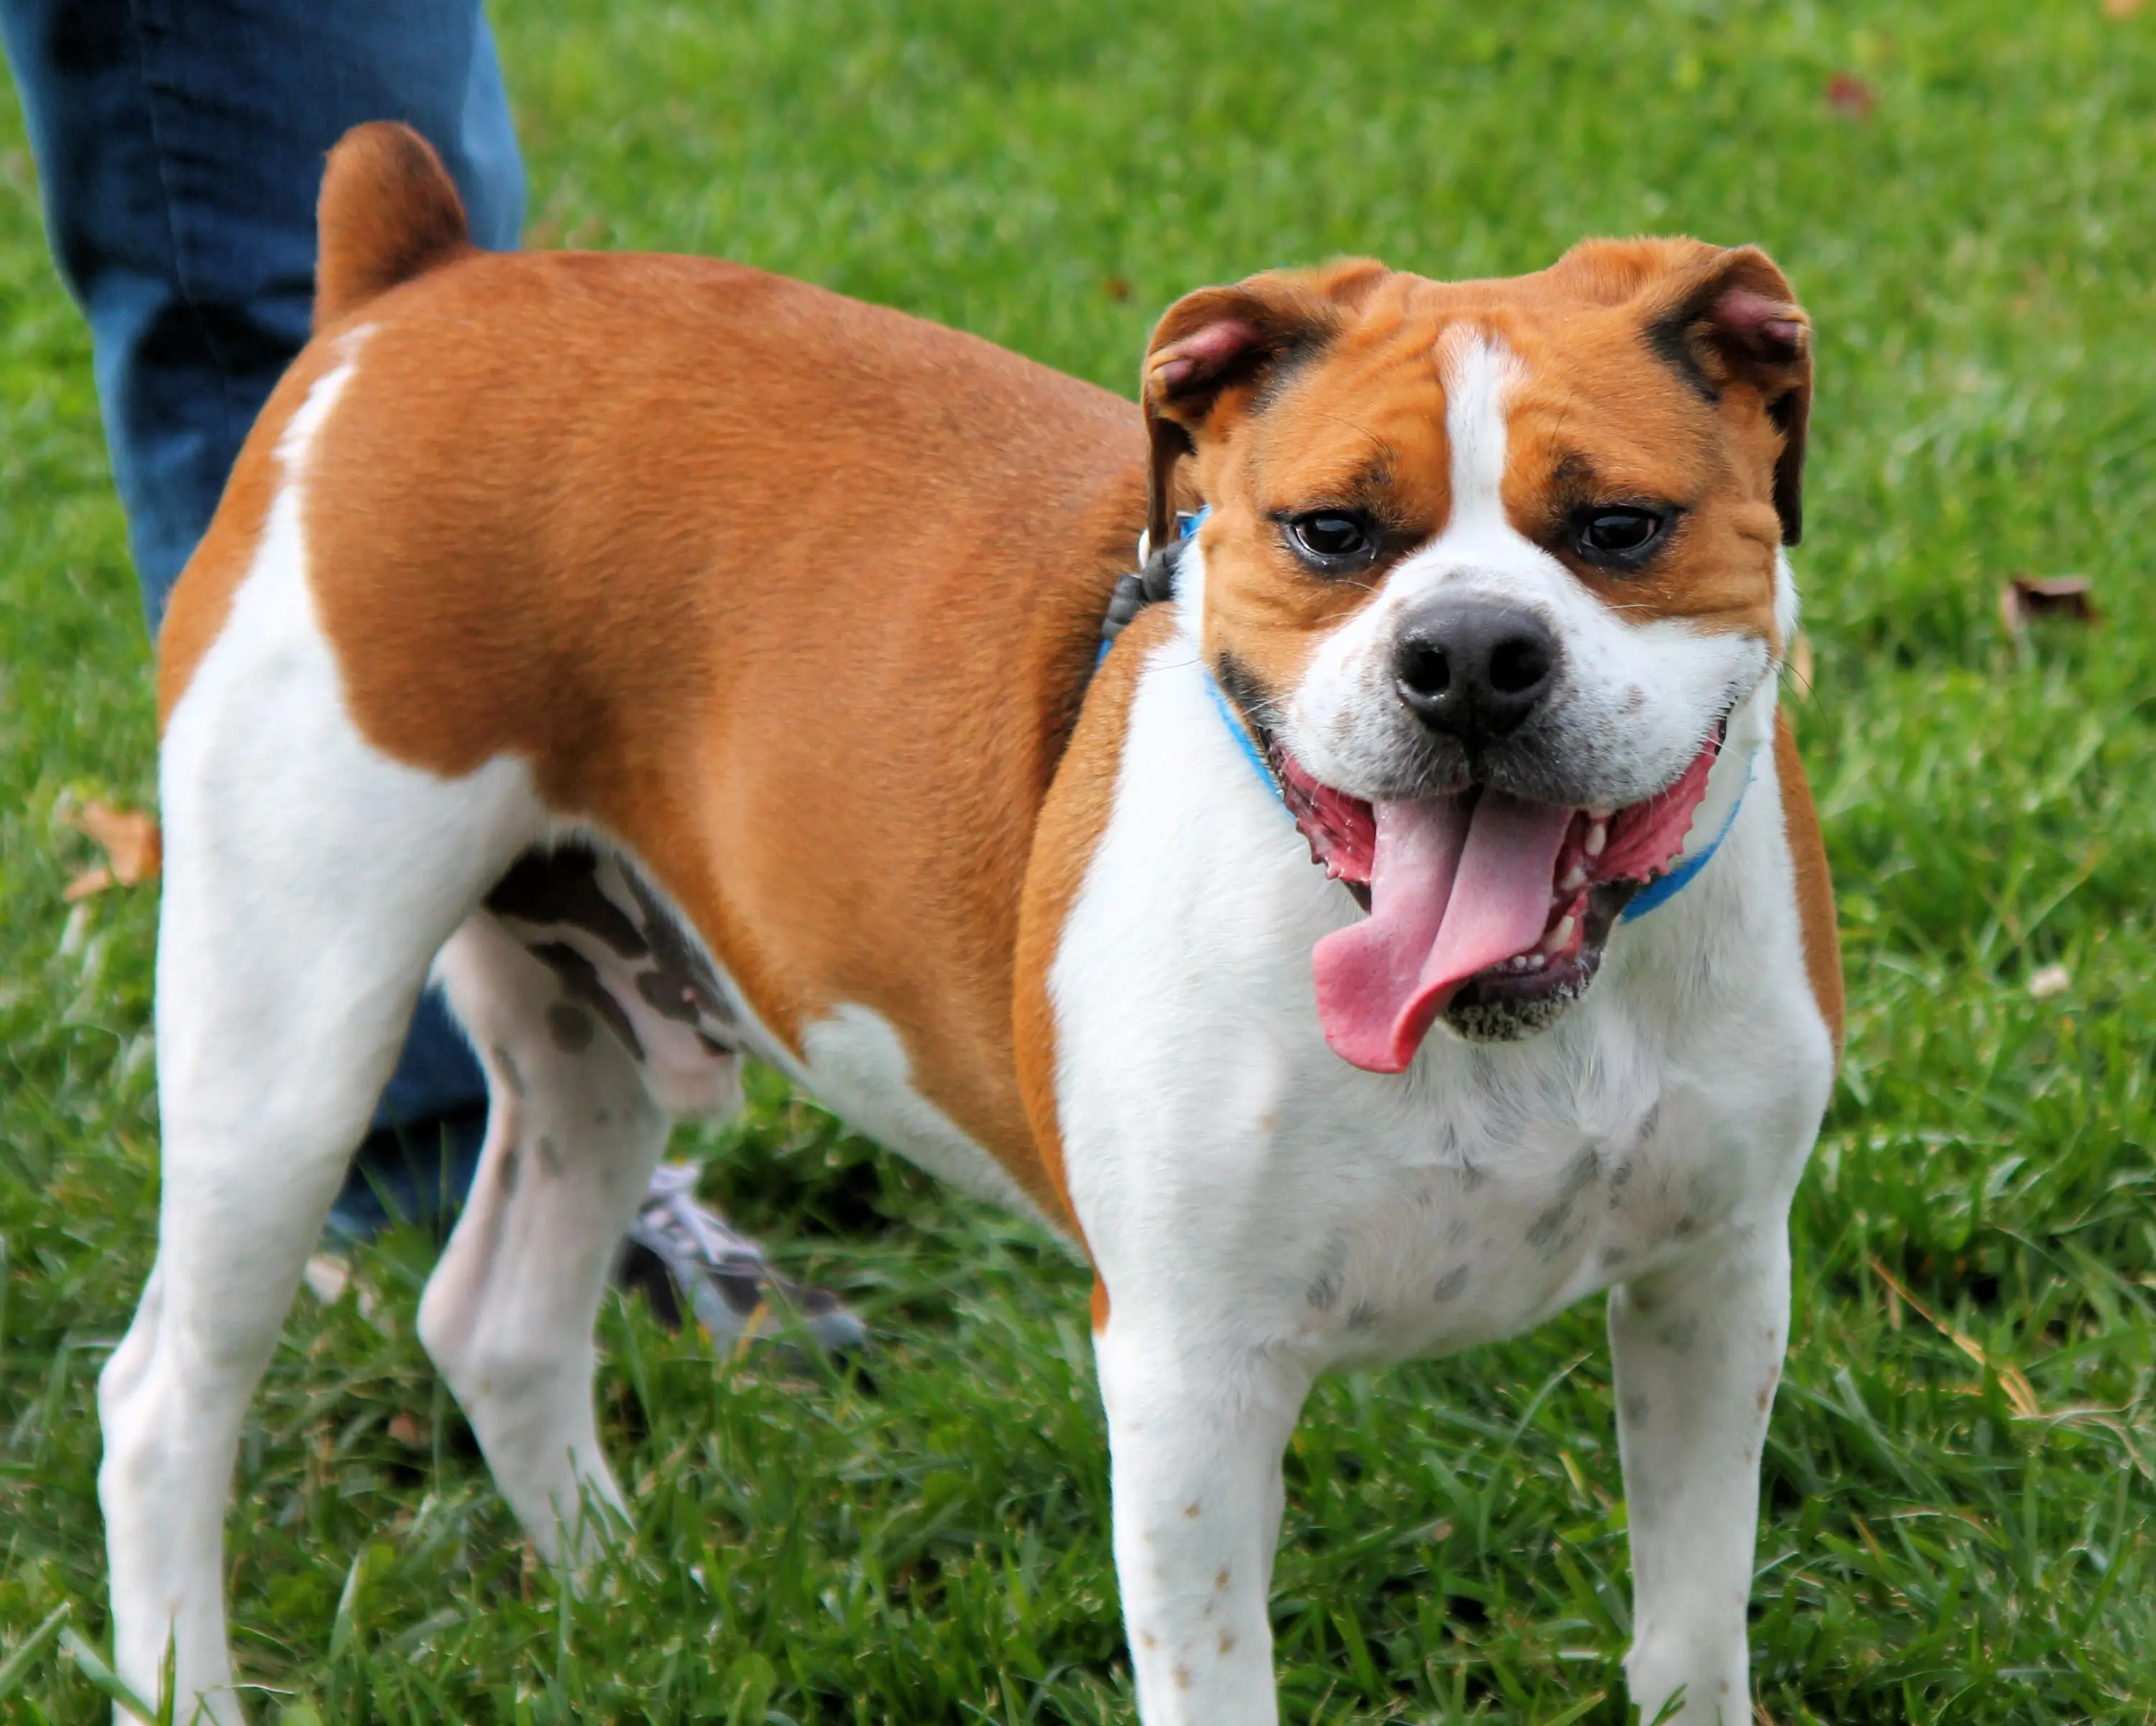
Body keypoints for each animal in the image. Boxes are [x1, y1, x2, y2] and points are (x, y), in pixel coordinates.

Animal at [105, 124, 1837, 1726]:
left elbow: (1694, 1631)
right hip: (287, 1046)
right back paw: (195, 1673)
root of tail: (413, 289)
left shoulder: (1716, 1287)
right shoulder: (1187, 1381)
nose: (1470, 653)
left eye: (1620, 528)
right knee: (163, 1405)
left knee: (502, 1327)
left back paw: (627, 1595)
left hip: (585, 1040)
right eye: (1331, 533)